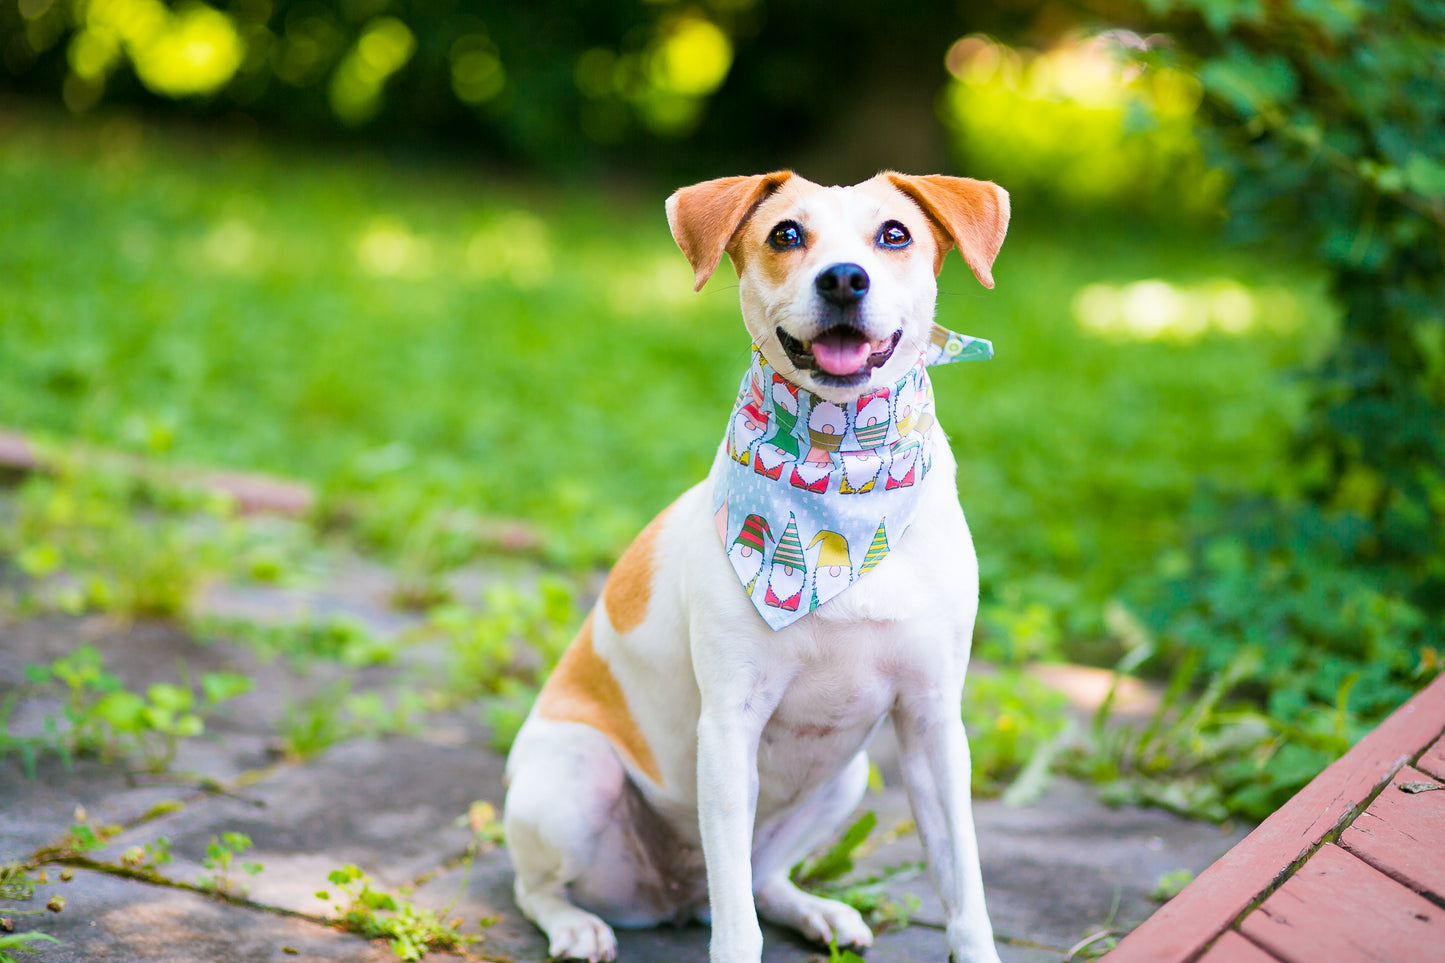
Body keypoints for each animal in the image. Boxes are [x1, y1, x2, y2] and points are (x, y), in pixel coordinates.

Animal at [502, 170, 1011, 960]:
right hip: (575, 779)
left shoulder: (932, 722)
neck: (841, 476)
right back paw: (577, 926)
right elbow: (737, 926)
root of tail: (675, 897)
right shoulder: (728, 726)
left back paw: (814, 909)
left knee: (761, 875)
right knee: (542, 888)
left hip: (848, 777)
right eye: (786, 234)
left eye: (894, 233)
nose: (843, 278)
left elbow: (963, 885)